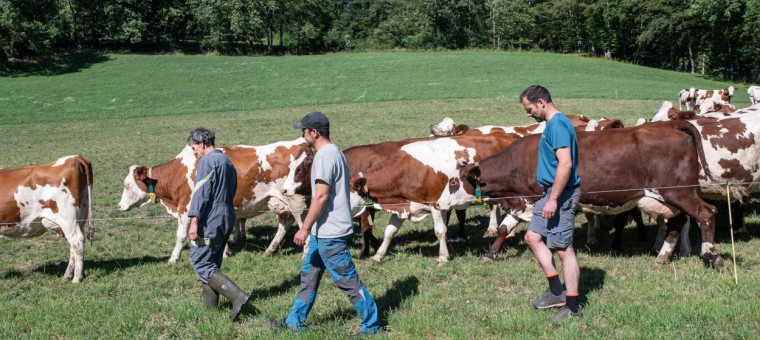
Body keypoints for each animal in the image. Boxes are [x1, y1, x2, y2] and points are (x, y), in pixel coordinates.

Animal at [119, 138, 308, 262]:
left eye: (127, 185)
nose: (119, 206)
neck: (179, 173)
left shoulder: (185, 208)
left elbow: (180, 235)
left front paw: (173, 258)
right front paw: (222, 252)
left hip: (297, 203)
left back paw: (305, 254)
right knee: (285, 223)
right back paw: (270, 250)